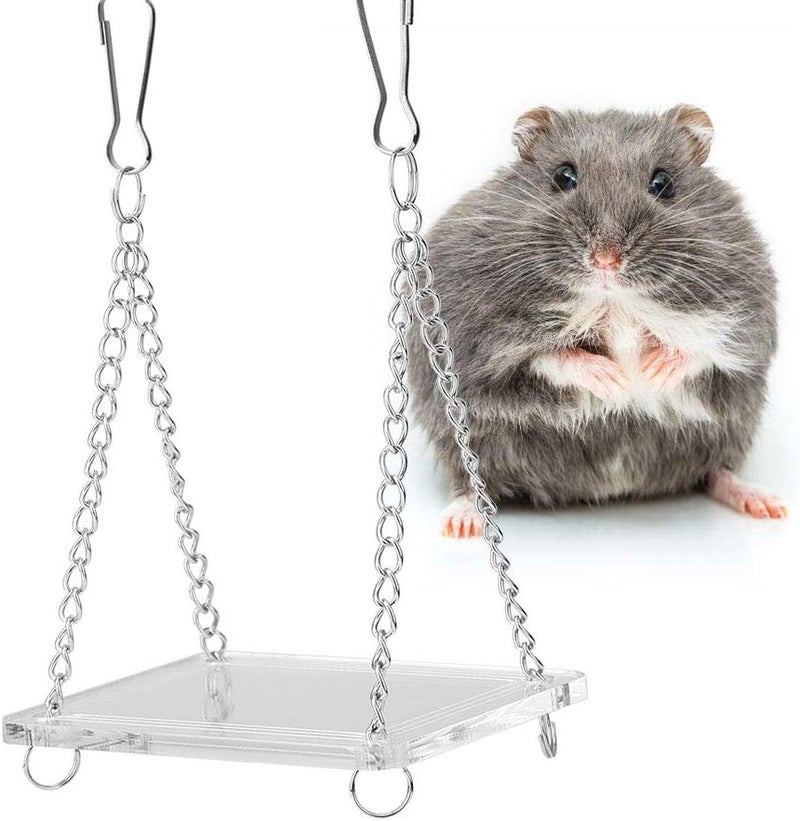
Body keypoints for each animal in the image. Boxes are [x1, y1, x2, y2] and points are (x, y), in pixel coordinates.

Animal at [408, 104, 786, 537]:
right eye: (563, 177)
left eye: (664, 183)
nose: (606, 260)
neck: (614, 301)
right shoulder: (476, 334)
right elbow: (549, 357)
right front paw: (617, 381)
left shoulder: (749, 316)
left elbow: (708, 349)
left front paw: (651, 372)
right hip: (458, 438)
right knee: (467, 480)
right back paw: (461, 524)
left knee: (716, 471)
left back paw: (766, 504)